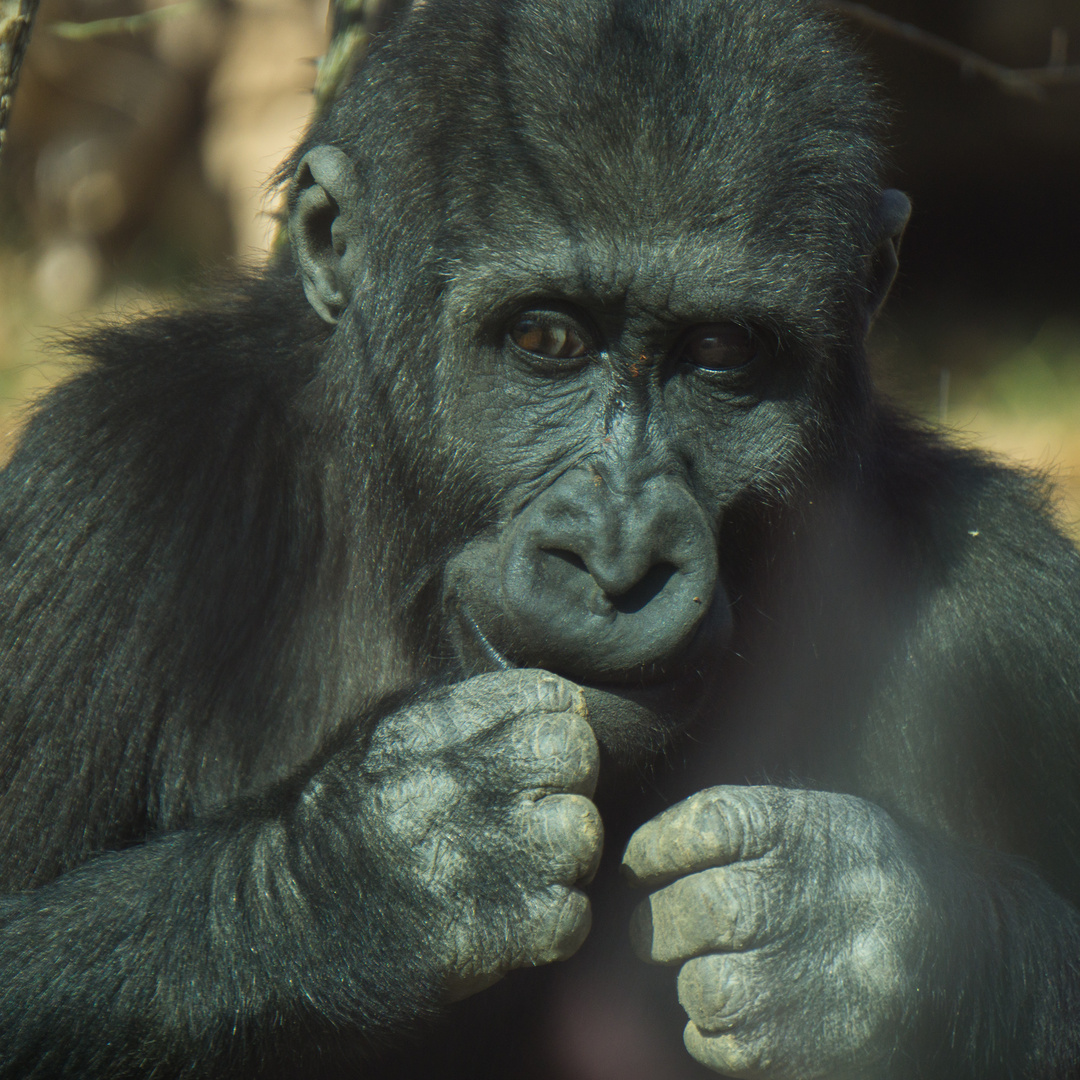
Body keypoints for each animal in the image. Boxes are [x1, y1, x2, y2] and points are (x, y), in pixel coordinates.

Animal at [2, 0, 1080, 1075]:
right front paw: (374, 876)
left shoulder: (1013, 604)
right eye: (546, 339)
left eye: (720, 352)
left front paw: (868, 940)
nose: (620, 561)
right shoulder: (97, 488)